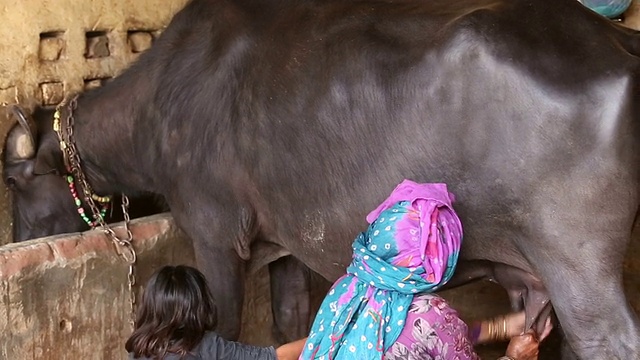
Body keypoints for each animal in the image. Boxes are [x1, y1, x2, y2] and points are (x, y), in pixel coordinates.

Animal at [1, 0, 640, 356]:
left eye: (17, 184)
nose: (22, 241)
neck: (160, 105)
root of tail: (616, 41)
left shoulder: (213, 236)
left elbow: (224, 325)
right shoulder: (282, 242)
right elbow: (289, 319)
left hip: (578, 268)